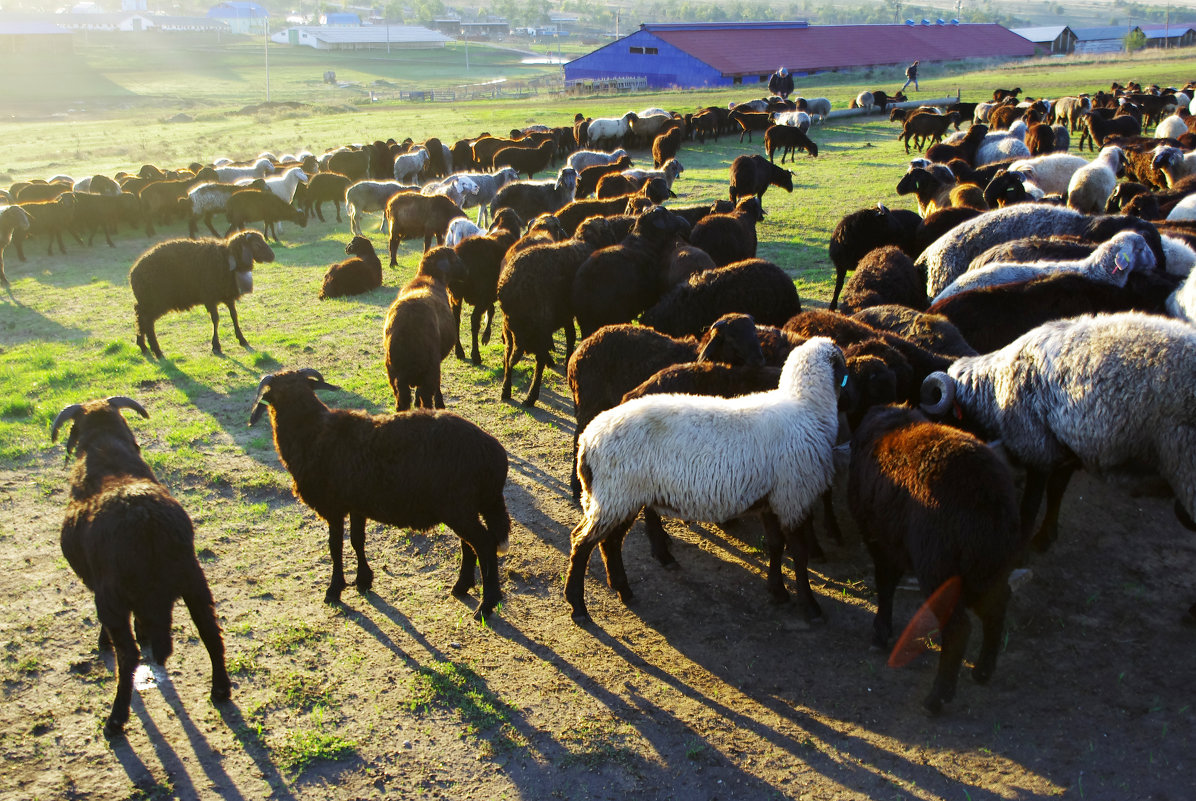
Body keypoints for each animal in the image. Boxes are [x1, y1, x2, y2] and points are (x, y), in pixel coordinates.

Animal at [51, 396, 229, 741]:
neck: (107, 453)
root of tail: (147, 521)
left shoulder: (100, 588)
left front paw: (103, 641)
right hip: (194, 580)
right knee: (210, 632)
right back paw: (220, 690)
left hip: (114, 597)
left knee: (128, 656)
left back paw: (115, 720)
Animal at [129, 230, 273, 358]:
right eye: (256, 245)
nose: (272, 256)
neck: (226, 258)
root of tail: (133, 273)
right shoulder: (210, 298)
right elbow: (216, 319)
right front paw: (216, 346)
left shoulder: (228, 296)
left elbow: (234, 316)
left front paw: (242, 340)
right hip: (154, 301)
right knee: (147, 322)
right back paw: (157, 351)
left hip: (146, 302)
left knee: (140, 319)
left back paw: (143, 345)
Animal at [249, 370, 511, 621]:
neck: (310, 431)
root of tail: (495, 454)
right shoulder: (356, 506)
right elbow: (357, 540)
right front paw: (363, 580)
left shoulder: (334, 507)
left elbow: (335, 546)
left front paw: (334, 590)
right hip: (465, 507)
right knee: (469, 545)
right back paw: (461, 587)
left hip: (458, 507)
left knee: (484, 544)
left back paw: (486, 605)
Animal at [564, 339, 846, 626]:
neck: (807, 408)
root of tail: (587, 440)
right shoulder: (793, 498)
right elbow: (799, 555)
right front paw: (810, 606)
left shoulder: (772, 499)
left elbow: (776, 546)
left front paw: (778, 592)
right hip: (616, 493)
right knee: (582, 542)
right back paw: (578, 606)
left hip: (621, 497)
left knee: (609, 542)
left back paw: (623, 589)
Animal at [851, 408, 1018, 717]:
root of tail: (987, 494)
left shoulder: (879, 537)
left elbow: (885, 583)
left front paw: (881, 633)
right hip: (990, 566)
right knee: (997, 606)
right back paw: (982, 671)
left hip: (939, 567)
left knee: (958, 628)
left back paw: (937, 698)